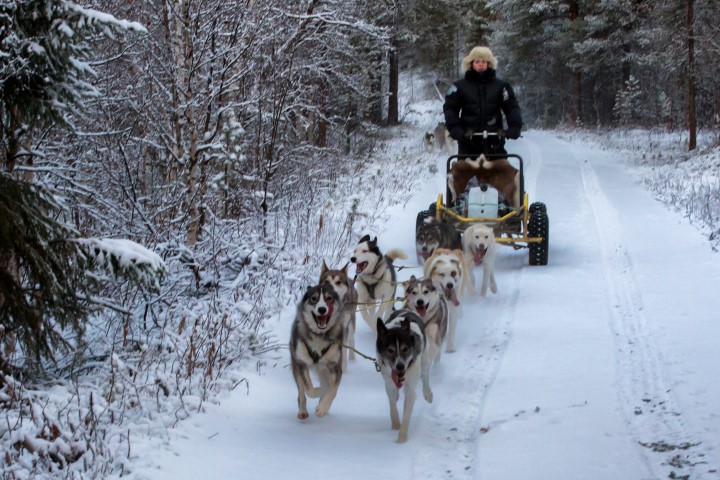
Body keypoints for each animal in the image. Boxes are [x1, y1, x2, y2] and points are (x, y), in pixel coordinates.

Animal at [288, 284, 344, 420]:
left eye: (329, 298)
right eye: (314, 298)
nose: (322, 309)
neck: (319, 335)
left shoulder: (335, 366)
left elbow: (333, 390)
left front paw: (323, 407)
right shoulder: (302, 363)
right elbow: (309, 389)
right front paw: (319, 391)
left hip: (324, 370)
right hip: (296, 365)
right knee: (301, 392)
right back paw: (303, 410)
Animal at [376, 310, 434, 444]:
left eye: (405, 349)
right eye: (390, 350)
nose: (400, 366)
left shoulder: (410, 388)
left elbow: (407, 412)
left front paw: (401, 439)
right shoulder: (388, 382)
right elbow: (392, 404)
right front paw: (396, 424)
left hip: (425, 358)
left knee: (426, 374)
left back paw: (428, 393)